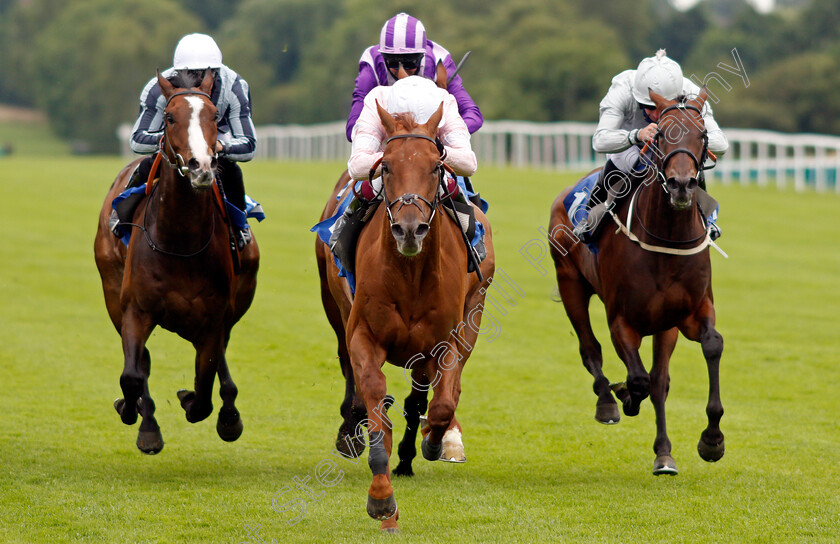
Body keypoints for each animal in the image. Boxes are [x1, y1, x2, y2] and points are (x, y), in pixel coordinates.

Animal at [95, 70, 260, 452]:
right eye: (169, 118)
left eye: (214, 116)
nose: (201, 167)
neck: (180, 243)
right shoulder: (134, 310)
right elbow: (132, 374)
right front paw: (138, 417)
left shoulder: (214, 320)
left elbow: (203, 390)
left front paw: (200, 404)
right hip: (111, 291)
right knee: (141, 363)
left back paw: (228, 413)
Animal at [318, 102, 496, 532]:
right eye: (386, 167)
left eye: (436, 166)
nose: (410, 229)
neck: (410, 274)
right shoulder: (364, 335)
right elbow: (373, 396)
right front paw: (383, 500)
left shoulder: (445, 341)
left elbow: (442, 403)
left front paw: (435, 440)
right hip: (336, 307)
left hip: (474, 309)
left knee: (434, 394)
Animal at [552, 87, 720, 474]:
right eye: (659, 135)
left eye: (702, 134)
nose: (681, 185)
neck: (667, 239)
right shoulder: (622, 320)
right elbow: (637, 378)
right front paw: (625, 395)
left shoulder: (689, 313)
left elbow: (709, 346)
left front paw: (711, 440)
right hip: (570, 283)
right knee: (590, 348)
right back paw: (607, 402)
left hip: (664, 324)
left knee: (659, 381)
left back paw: (664, 454)